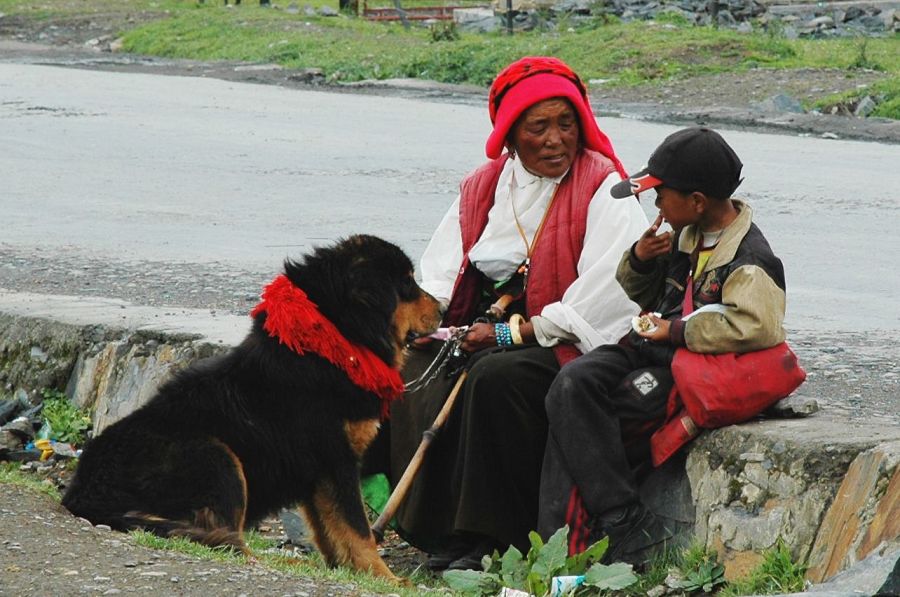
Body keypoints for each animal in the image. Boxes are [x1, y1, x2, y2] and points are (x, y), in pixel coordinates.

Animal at [61, 235, 442, 580]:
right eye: (407, 282)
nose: (443, 309)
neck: (333, 341)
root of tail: (83, 492)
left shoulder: (318, 473)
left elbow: (330, 533)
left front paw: (346, 571)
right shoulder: (337, 461)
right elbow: (358, 530)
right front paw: (386, 578)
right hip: (218, 457)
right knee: (225, 538)